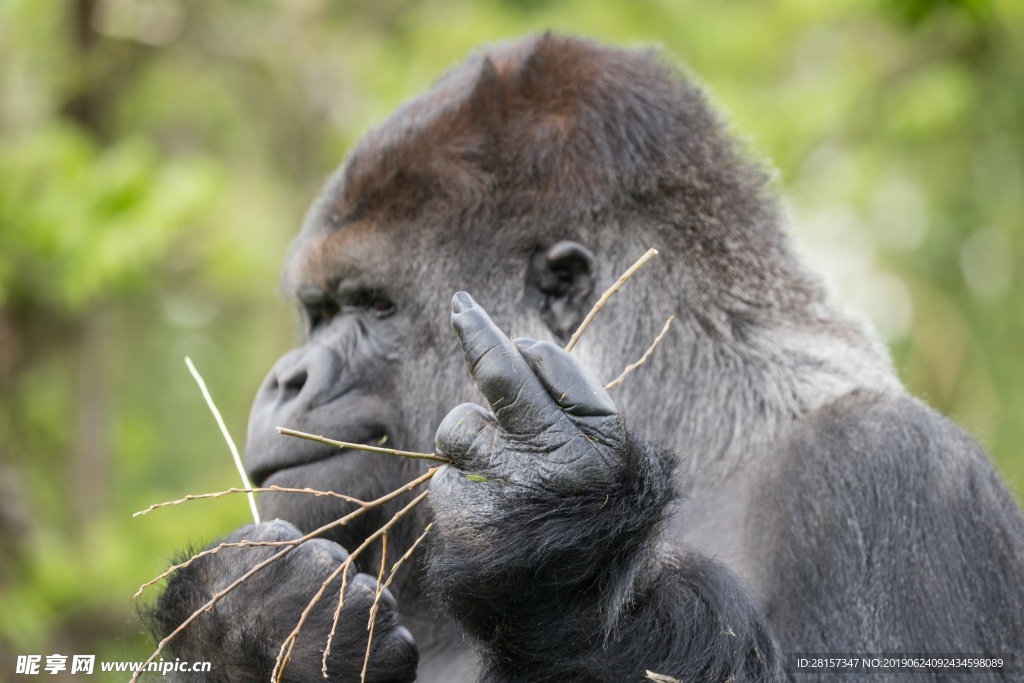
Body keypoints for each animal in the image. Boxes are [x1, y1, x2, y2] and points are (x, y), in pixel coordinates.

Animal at [149, 33, 1024, 683]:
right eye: (317, 313)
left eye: (371, 306)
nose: (286, 378)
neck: (699, 420)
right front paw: (241, 623)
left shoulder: (896, 467)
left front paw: (555, 549)